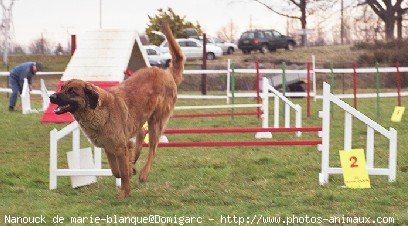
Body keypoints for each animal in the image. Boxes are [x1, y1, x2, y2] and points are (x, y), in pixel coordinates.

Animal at [48, 22, 186, 199]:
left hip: (157, 120)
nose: (51, 97)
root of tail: (166, 73)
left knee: (153, 148)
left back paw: (143, 173)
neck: (97, 111)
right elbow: (116, 171)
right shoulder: (109, 147)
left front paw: (124, 193)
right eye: (62, 88)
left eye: (72, 91)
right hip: (141, 119)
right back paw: (133, 159)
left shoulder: (119, 147)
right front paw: (129, 168)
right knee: (141, 134)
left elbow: (123, 173)